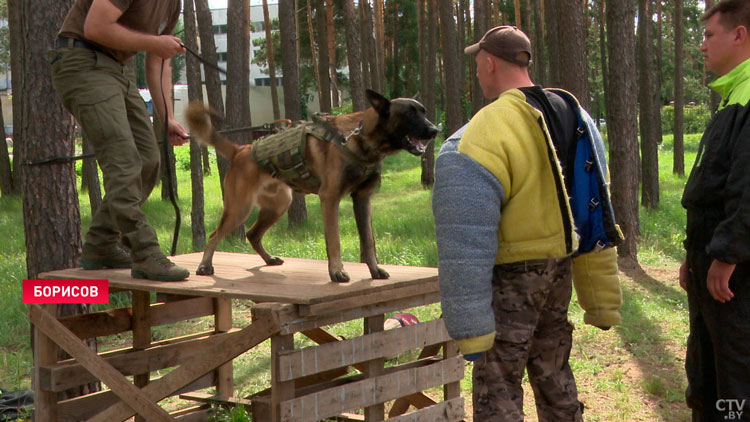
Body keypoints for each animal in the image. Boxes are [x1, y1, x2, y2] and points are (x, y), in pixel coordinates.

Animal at [184, 89, 438, 282]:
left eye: (424, 112)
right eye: (409, 114)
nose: (435, 130)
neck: (360, 139)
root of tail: (240, 150)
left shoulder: (363, 200)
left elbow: (369, 242)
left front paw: (374, 270)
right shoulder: (330, 199)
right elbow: (334, 241)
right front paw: (337, 272)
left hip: (278, 206)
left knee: (252, 233)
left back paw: (268, 260)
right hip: (240, 208)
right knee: (215, 235)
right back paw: (204, 266)